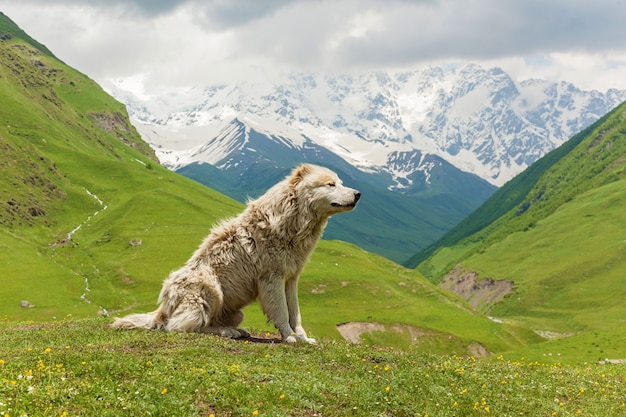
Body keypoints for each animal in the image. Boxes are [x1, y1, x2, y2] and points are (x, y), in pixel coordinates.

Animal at [109, 162, 358, 342]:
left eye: (340, 182)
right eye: (331, 184)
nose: (358, 194)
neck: (292, 219)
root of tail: (161, 310)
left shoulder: (291, 279)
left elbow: (295, 312)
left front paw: (304, 338)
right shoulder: (272, 279)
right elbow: (282, 312)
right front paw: (289, 338)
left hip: (236, 311)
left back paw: (236, 331)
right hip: (210, 288)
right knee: (181, 326)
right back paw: (227, 332)